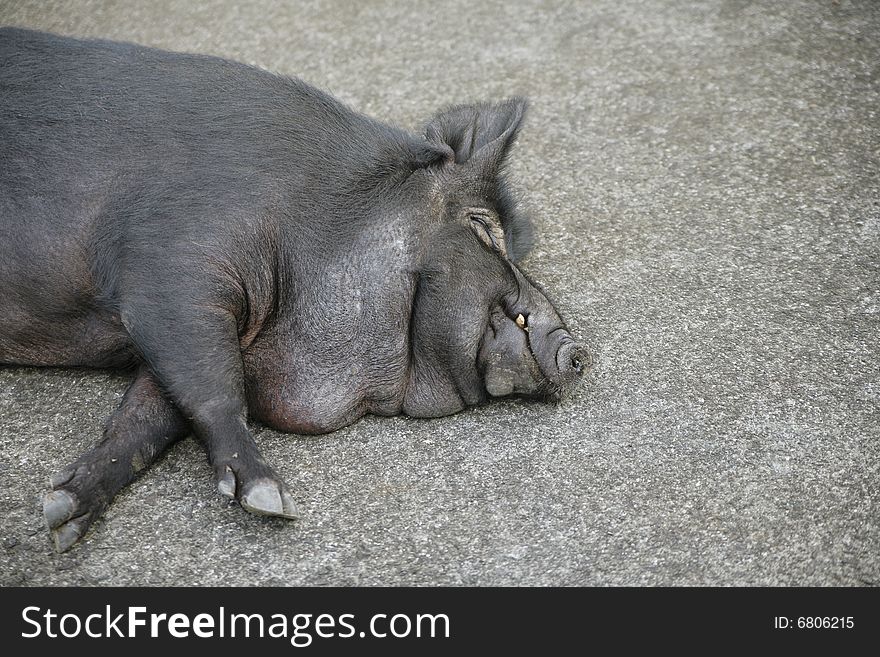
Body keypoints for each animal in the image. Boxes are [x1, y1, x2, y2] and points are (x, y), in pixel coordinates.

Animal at [5, 25, 592, 552]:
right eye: (483, 228)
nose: (580, 352)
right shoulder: (172, 267)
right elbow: (214, 386)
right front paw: (274, 502)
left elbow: (149, 413)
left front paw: (59, 517)